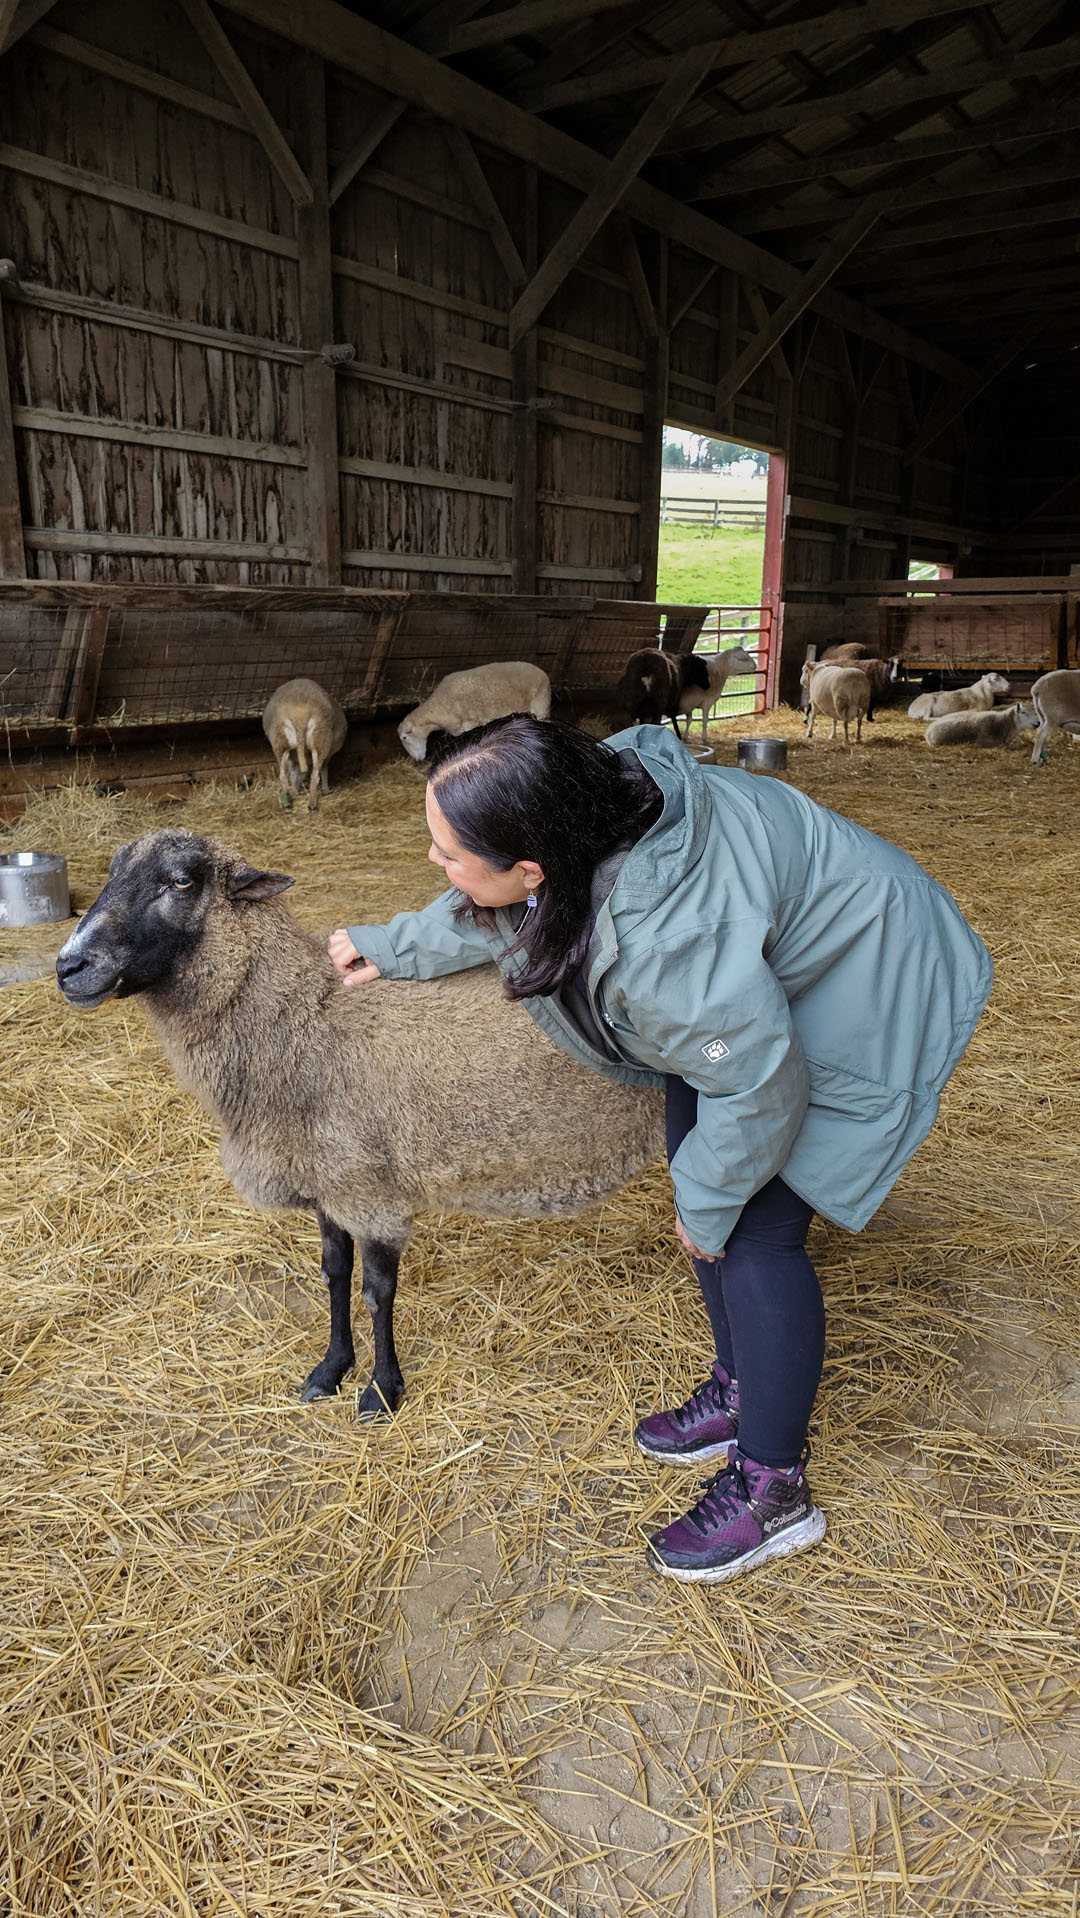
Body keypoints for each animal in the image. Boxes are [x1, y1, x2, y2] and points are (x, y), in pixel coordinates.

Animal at [56, 831, 664, 1418]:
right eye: (112, 871)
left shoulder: (371, 1193)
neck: (307, 1020)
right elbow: (333, 1274)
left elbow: (376, 1293)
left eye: (181, 881)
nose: (67, 967)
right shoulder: (329, 1181)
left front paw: (381, 1391)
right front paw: (330, 1370)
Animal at [262, 678, 347, 813]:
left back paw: (286, 803)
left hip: (280, 742)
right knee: (315, 775)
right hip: (321, 741)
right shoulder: (328, 755)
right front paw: (326, 790)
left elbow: (293, 772)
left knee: (283, 773)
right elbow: (324, 770)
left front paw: (294, 791)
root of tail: (300, 717)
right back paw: (312, 804)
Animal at [398, 662, 550, 762]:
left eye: (404, 737)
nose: (417, 759)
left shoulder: (470, 725)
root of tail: (543, 674)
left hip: (540, 708)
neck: (440, 706)